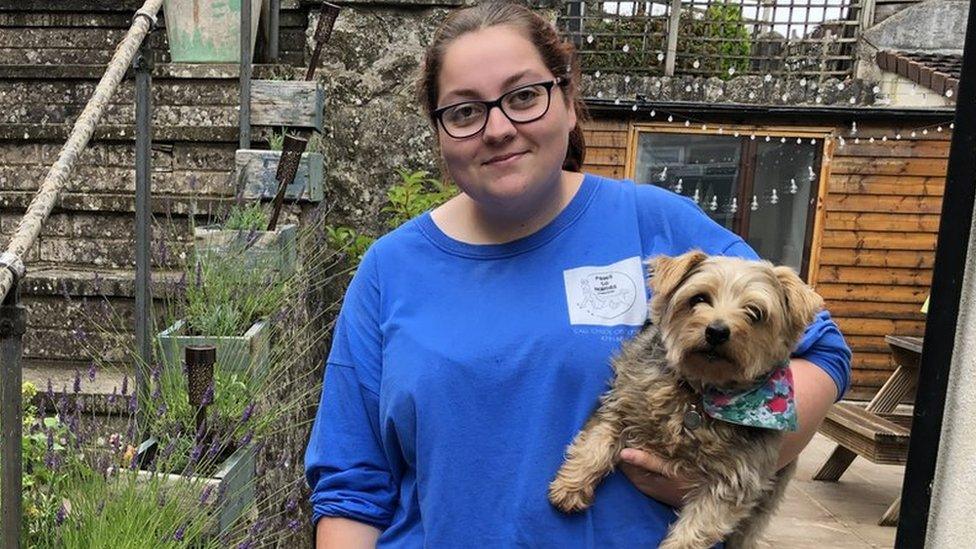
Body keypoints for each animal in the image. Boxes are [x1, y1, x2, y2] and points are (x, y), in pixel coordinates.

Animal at [548, 250, 824, 544]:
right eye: (699, 299)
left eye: (755, 313)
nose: (717, 331)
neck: (697, 392)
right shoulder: (621, 402)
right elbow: (596, 442)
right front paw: (570, 487)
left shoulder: (736, 478)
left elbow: (696, 529)